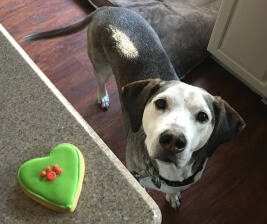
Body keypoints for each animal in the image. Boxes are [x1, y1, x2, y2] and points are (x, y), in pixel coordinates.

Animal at [24, 6, 246, 210]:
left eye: (202, 116)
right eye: (160, 103)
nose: (173, 140)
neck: (166, 174)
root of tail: (107, 8)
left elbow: (174, 191)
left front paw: (173, 197)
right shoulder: (135, 173)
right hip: (101, 65)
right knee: (100, 81)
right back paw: (103, 97)